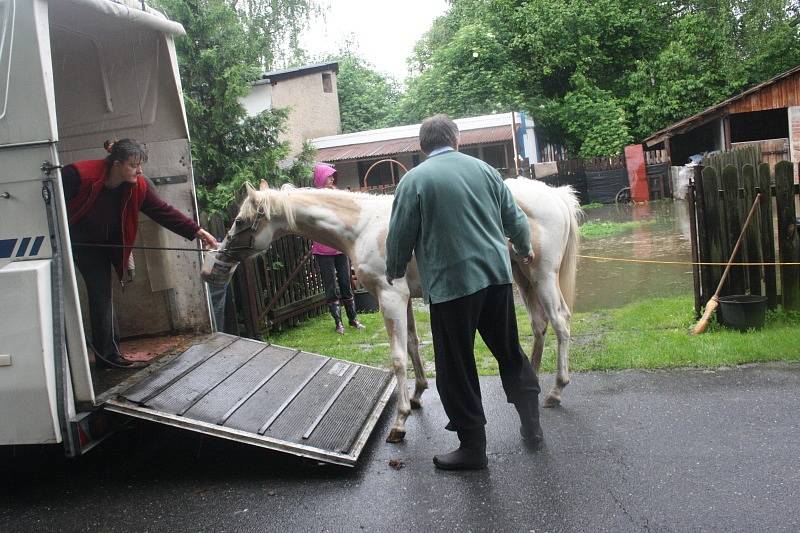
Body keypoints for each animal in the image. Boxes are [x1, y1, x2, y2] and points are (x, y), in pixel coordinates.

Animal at [202, 177, 580, 442]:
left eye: (240, 221)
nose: (213, 269)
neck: (363, 225)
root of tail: (557, 196)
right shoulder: (403, 298)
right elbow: (412, 345)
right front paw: (418, 394)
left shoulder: (390, 296)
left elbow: (397, 357)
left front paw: (399, 420)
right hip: (522, 277)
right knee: (540, 324)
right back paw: (530, 382)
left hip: (542, 276)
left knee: (560, 322)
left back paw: (556, 390)